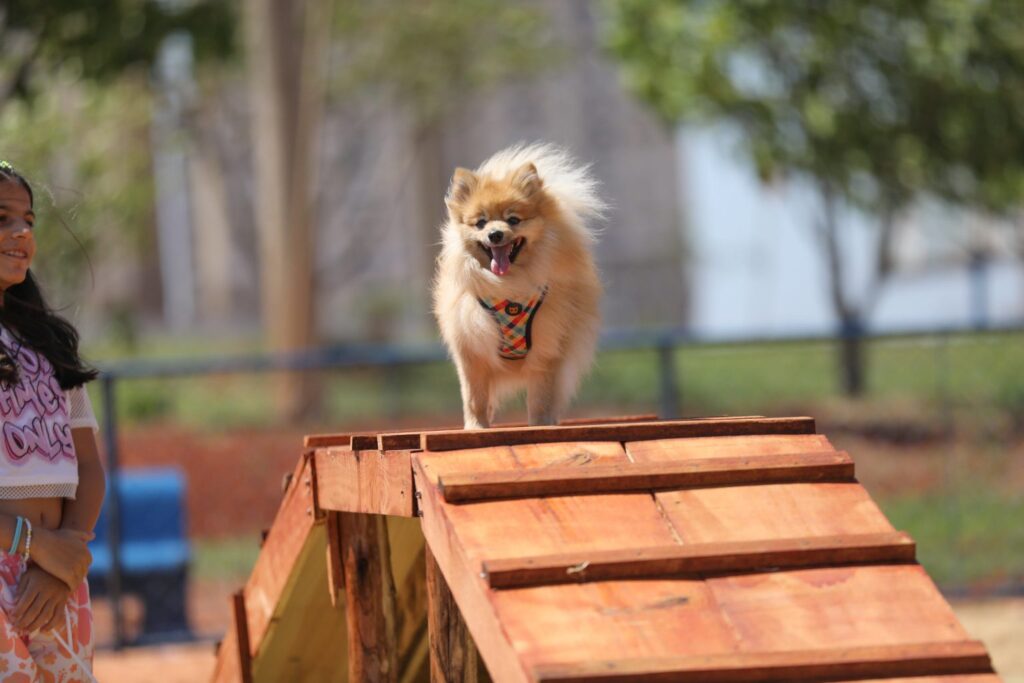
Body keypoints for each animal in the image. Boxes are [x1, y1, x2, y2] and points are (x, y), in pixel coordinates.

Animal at [430, 143, 602, 428]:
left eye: (513, 220)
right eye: (481, 222)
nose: (495, 234)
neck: (508, 284)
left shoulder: (547, 347)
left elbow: (541, 396)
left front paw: (541, 424)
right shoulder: (471, 348)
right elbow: (474, 396)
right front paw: (476, 426)